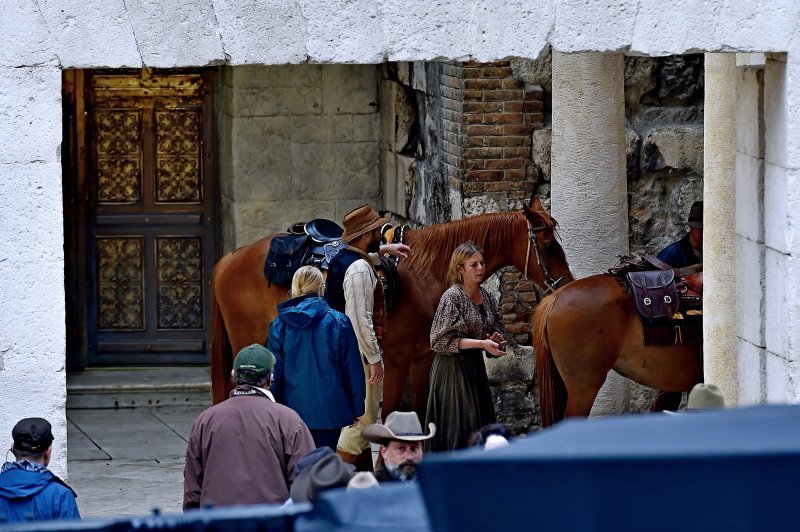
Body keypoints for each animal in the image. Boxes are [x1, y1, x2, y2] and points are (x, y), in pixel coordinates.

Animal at [211, 197, 576, 422]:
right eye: (548, 245)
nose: (566, 284)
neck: (425, 274)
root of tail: (228, 259)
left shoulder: (423, 356)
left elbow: (419, 409)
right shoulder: (397, 358)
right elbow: (389, 415)